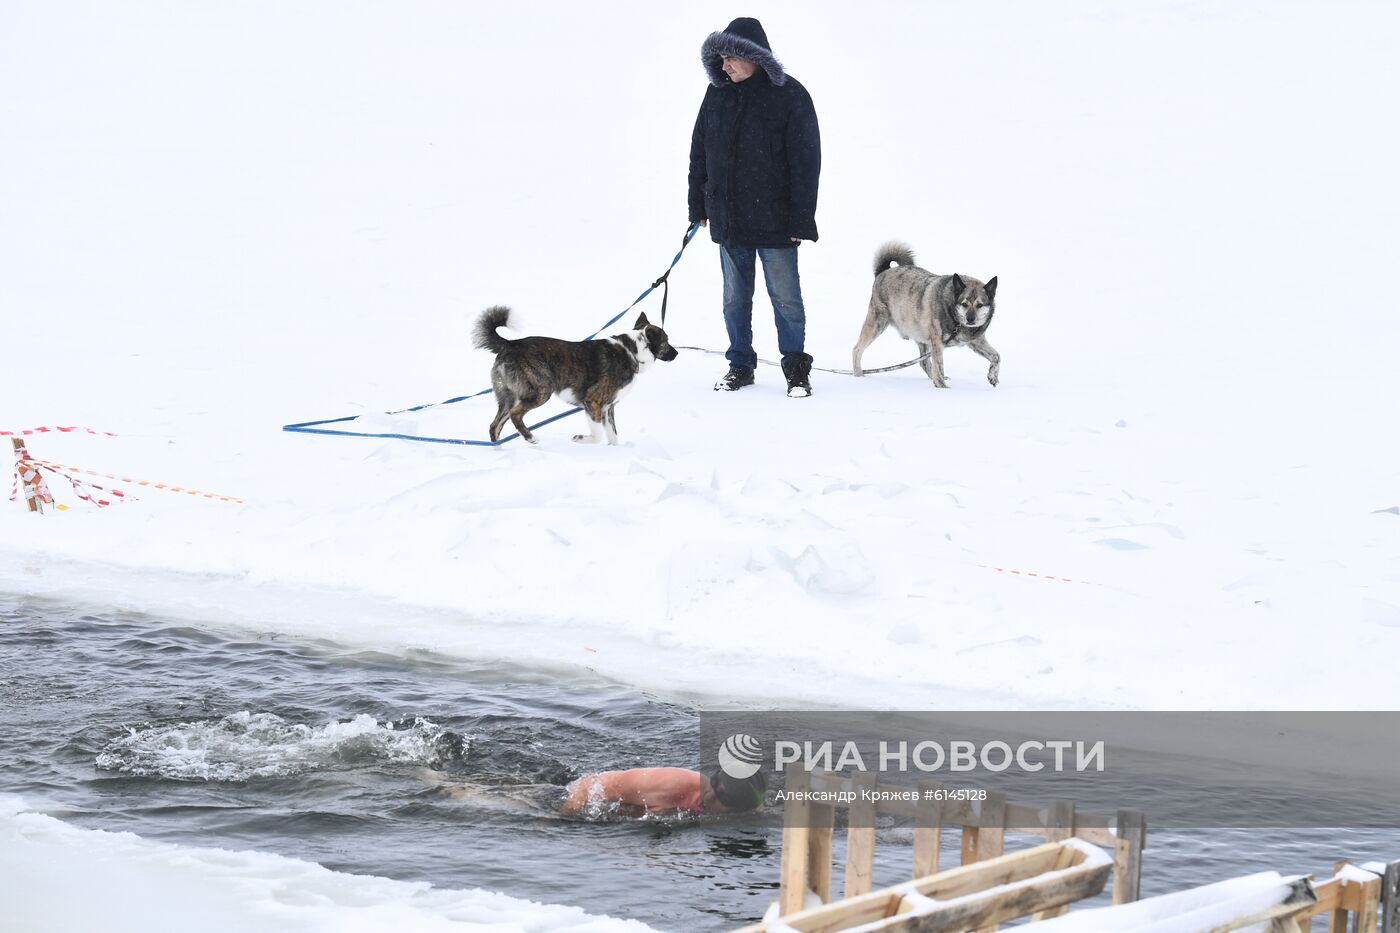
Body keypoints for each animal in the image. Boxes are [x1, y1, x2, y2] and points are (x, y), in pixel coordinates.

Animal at [473, 306, 680, 445]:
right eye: (666, 341)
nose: (677, 354)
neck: (632, 351)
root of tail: (510, 344)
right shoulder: (593, 402)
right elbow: (597, 436)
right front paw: (580, 439)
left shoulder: (608, 408)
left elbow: (613, 436)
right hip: (541, 390)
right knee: (516, 415)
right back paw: (531, 438)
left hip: (509, 396)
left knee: (495, 425)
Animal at [845, 240, 1002, 386]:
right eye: (964, 304)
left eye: (980, 305)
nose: (970, 319)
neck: (955, 318)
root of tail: (883, 272)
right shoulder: (937, 342)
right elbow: (939, 367)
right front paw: (943, 388)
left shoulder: (976, 341)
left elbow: (996, 356)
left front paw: (993, 376)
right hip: (877, 324)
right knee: (857, 349)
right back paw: (858, 375)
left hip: (920, 335)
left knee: (923, 362)